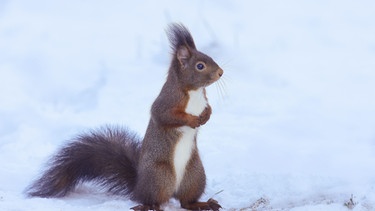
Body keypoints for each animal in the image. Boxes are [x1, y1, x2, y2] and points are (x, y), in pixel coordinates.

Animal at [25, 23, 223, 211]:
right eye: (200, 66)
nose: (221, 72)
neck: (194, 91)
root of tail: (138, 186)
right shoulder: (166, 101)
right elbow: (165, 116)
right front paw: (193, 120)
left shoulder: (203, 100)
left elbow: (209, 108)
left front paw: (206, 115)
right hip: (159, 176)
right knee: (154, 199)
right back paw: (148, 206)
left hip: (195, 175)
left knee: (186, 201)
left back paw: (203, 204)